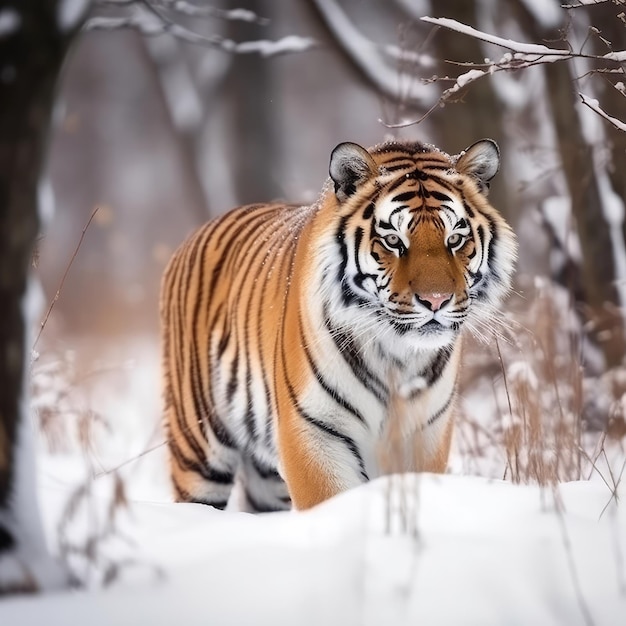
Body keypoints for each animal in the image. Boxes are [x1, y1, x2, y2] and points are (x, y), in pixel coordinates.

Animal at [158, 136, 516, 508]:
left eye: (455, 239)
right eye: (393, 240)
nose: (436, 300)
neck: (395, 357)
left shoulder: (425, 435)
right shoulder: (313, 434)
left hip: (264, 480)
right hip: (199, 449)